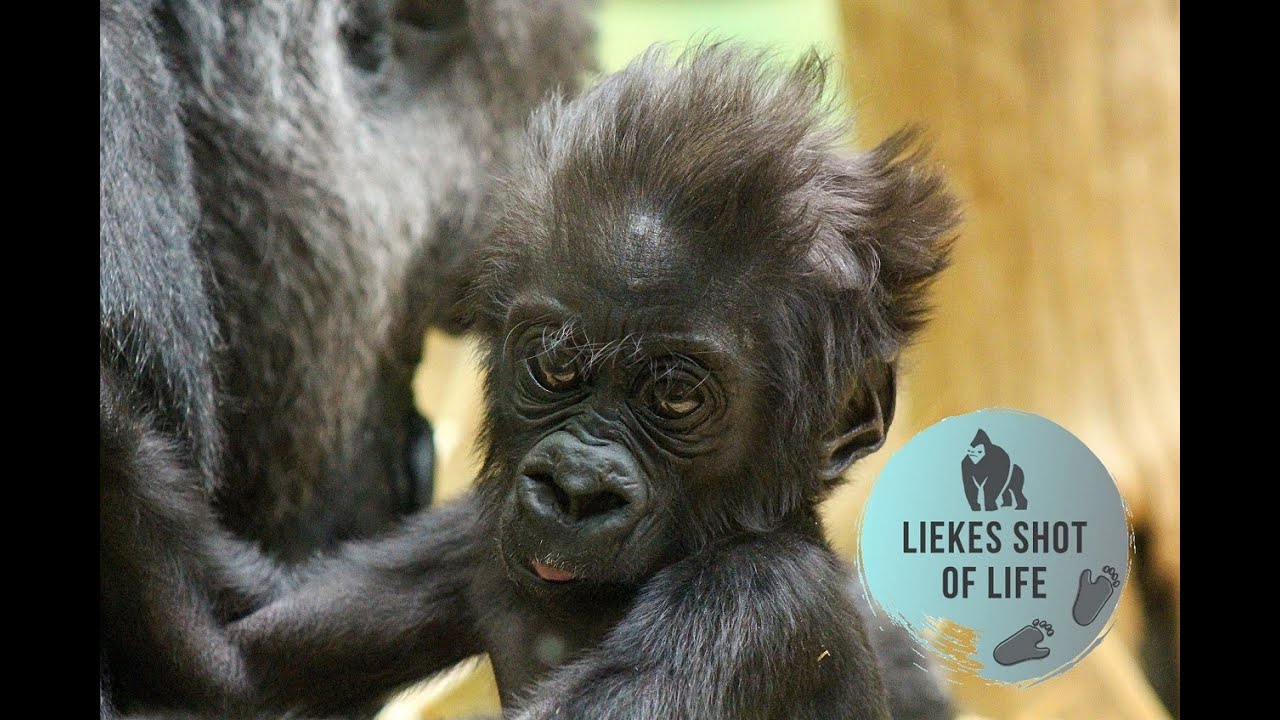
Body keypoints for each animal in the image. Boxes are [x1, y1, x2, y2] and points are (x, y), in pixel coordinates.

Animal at [231, 44, 960, 719]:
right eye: (556, 364)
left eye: (676, 396)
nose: (577, 489)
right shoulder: (475, 527)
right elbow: (239, 651)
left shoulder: (759, 602)